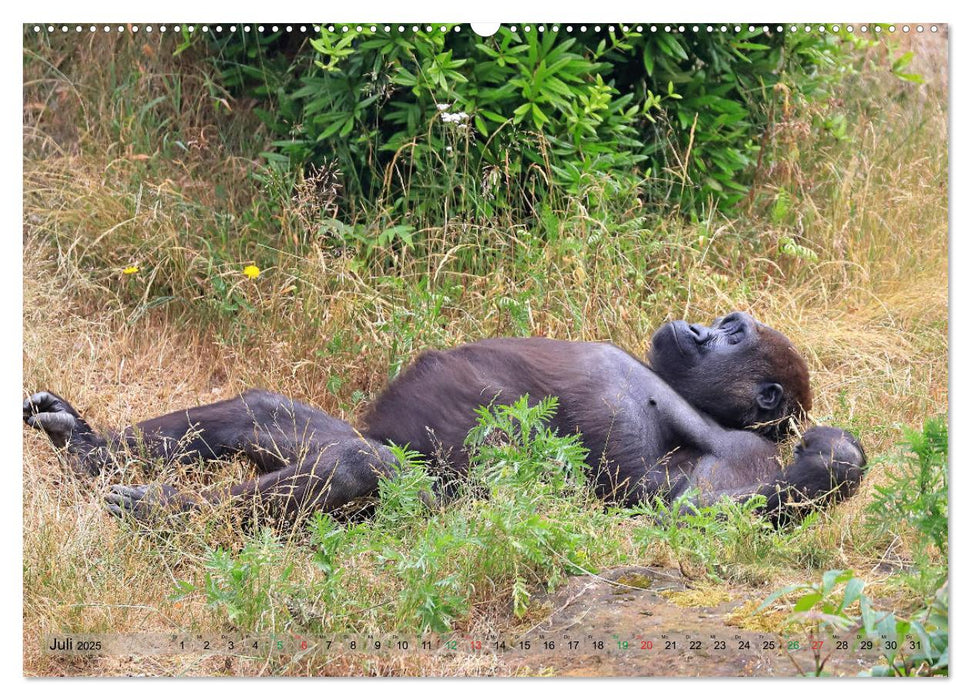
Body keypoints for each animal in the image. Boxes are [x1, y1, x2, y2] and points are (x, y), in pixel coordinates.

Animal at [22, 312, 864, 524]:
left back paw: (155, 513)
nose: (692, 328)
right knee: (273, 419)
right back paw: (85, 448)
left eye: (730, 333)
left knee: (360, 468)